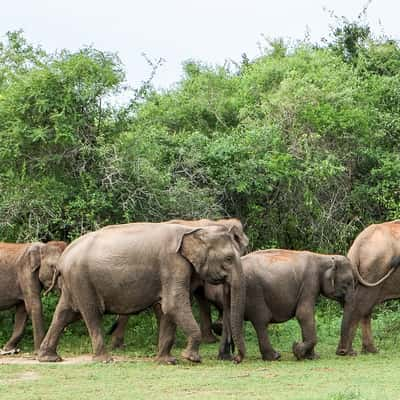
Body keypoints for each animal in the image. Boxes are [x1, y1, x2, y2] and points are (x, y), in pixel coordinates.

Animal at [209, 248, 354, 360]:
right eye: (348, 283)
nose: (343, 353)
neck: (325, 257)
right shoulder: (310, 282)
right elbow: (303, 314)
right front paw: (297, 350)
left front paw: (311, 357)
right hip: (254, 291)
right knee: (261, 320)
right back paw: (274, 356)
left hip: (229, 293)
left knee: (228, 318)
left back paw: (225, 357)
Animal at [336, 219, 400, 356]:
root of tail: (358, 244)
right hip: (375, 268)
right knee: (363, 303)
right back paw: (350, 352)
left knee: (363, 305)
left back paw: (366, 350)